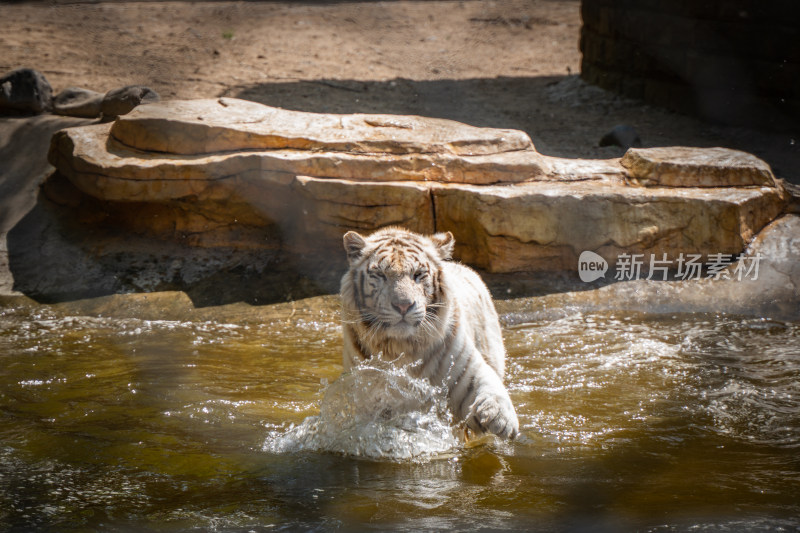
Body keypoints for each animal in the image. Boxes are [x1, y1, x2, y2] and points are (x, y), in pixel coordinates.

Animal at [338, 227, 520, 438]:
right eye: (380, 274)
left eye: (418, 274)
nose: (403, 305)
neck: (402, 347)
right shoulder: (365, 389)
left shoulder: (466, 369)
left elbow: (488, 386)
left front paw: (499, 418)